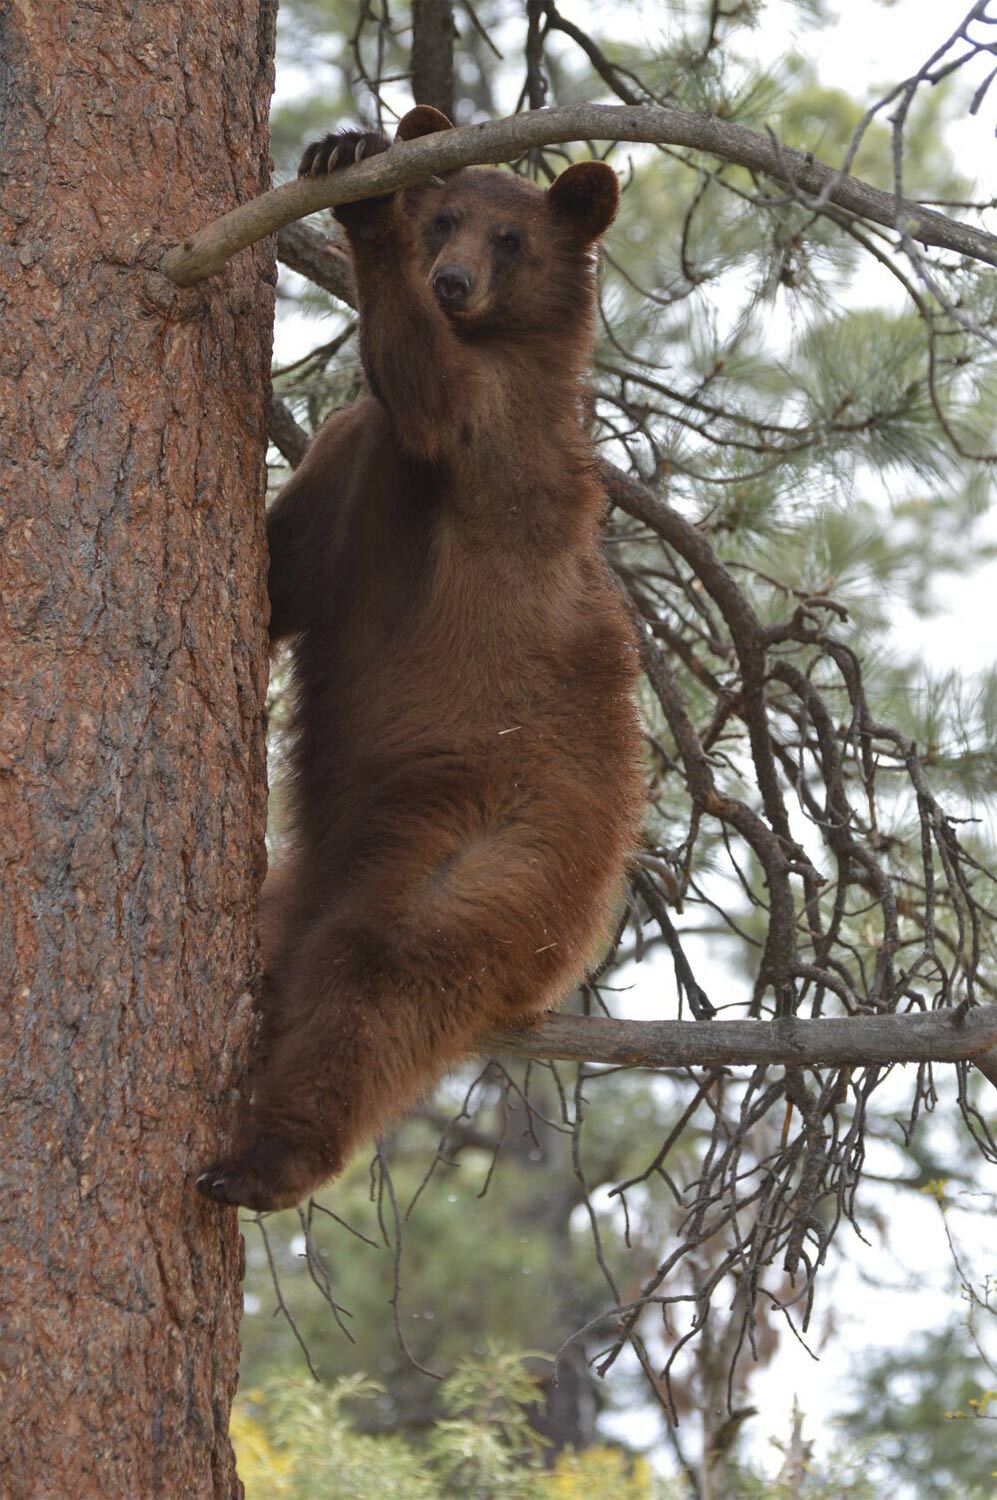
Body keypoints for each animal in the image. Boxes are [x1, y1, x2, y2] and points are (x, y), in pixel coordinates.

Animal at [197, 105, 641, 1212]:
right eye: (446, 217)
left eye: (510, 239)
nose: (449, 280)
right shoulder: (351, 472)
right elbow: (284, 578)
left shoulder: (494, 444)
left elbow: (433, 392)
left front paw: (356, 188)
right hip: (311, 877)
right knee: (293, 957)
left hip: (490, 858)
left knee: (376, 986)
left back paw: (264, 1162)